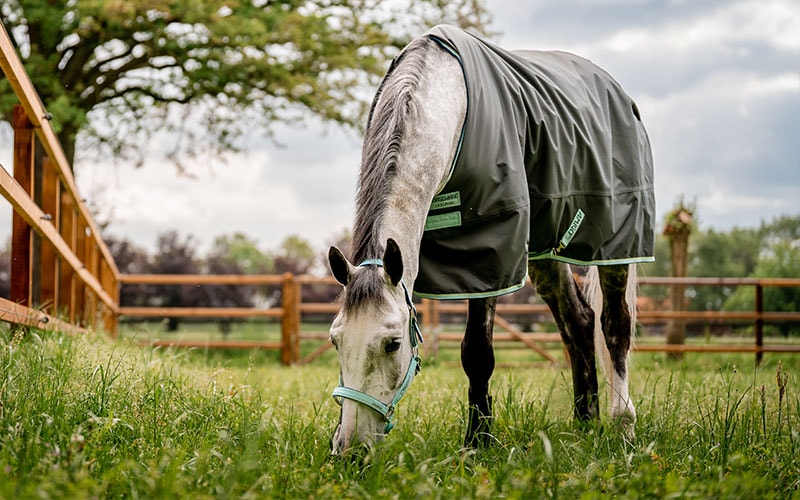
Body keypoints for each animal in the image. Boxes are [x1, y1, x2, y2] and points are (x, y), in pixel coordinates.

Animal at [328, 25, 652, 456]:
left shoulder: (490, 254)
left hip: (616, 244)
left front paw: (477, 443)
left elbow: (477, 352)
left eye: (393, 344)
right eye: (335, 341)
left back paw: (623, 426)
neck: (446, 107)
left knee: (615, 325)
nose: (350, 450)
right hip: (544, 253)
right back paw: (585, 422)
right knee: (579, 323)